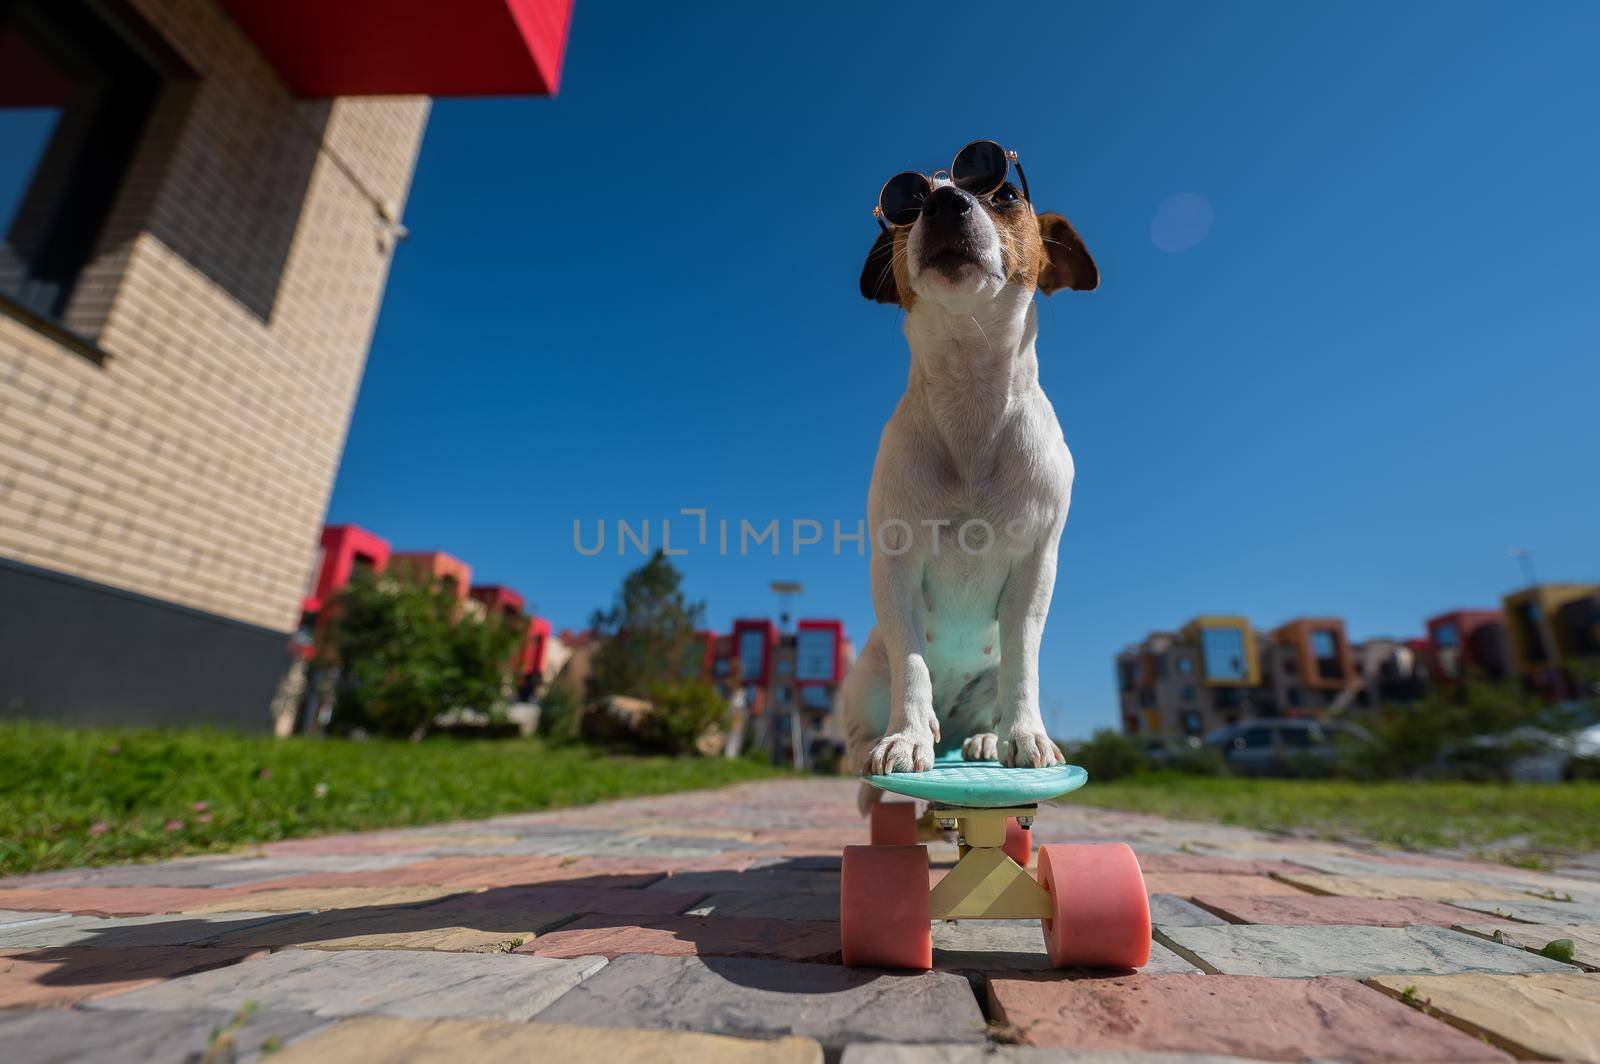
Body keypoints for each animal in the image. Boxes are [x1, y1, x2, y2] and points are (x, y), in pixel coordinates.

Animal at [838, 149, 1100, 812]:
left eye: (1005, 194)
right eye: (906, 203)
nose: (944, 202)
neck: (970, 392)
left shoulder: (1036, 567)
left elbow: (1023, 664)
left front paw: (1025, 735)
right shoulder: (895, 567)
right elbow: (912, 664)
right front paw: (905, 736)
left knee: (990, 696)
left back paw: (981, 737)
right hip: (864, 674)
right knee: (867, 723)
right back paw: (888, 743)